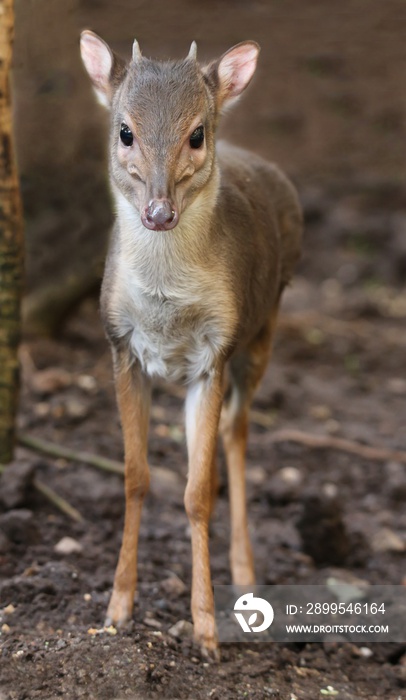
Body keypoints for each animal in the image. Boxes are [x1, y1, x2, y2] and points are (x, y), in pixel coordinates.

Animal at [79, 28, 302, 660]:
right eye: (125, 131)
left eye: (197, 134)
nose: (159, 211)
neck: (165, 305)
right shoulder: (121, 344)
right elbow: (136, 478)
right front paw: (117, 609)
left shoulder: (214, 353)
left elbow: (198, 493)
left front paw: (205, 632)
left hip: (262, 331)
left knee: (238, 432)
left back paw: (247, 575)